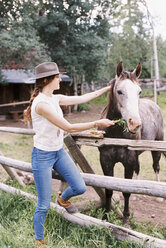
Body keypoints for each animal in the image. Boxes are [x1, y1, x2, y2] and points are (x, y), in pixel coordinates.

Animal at [98, 62, 164, 225]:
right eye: (119, 91)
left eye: (139, 91)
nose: (135, 124)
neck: (115, 134)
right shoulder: (106, 161)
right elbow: (108, 189)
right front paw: (105, 217)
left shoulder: (128, 161)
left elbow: (126, 190)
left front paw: (126, 220)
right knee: (138, 170)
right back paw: (138, 194)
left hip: (156, 148)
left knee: (156, 167)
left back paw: (159, 197)